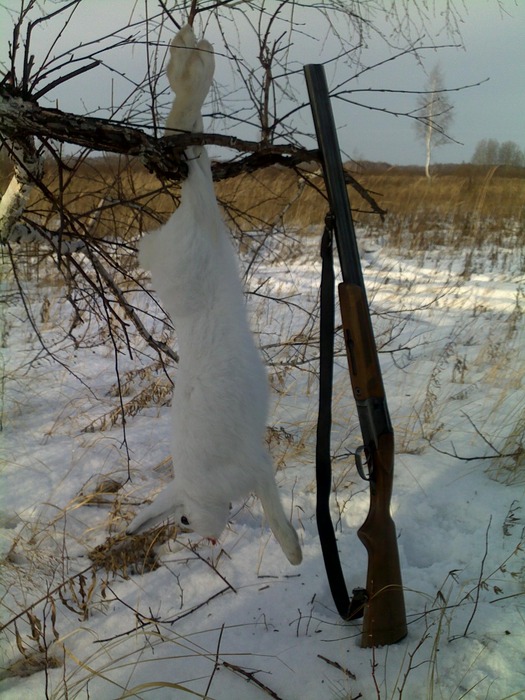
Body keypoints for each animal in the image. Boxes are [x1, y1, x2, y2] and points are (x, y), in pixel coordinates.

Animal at [127, 25, 302, 566]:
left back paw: (191, 61)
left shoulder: (255, 466)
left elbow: (274, 508)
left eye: (183, 519)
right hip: (199, 247)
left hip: (191, 255)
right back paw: (193, 54)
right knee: (195, 151)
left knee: (189, 142)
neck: (200, 487)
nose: (202, 534)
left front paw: (294, 553)